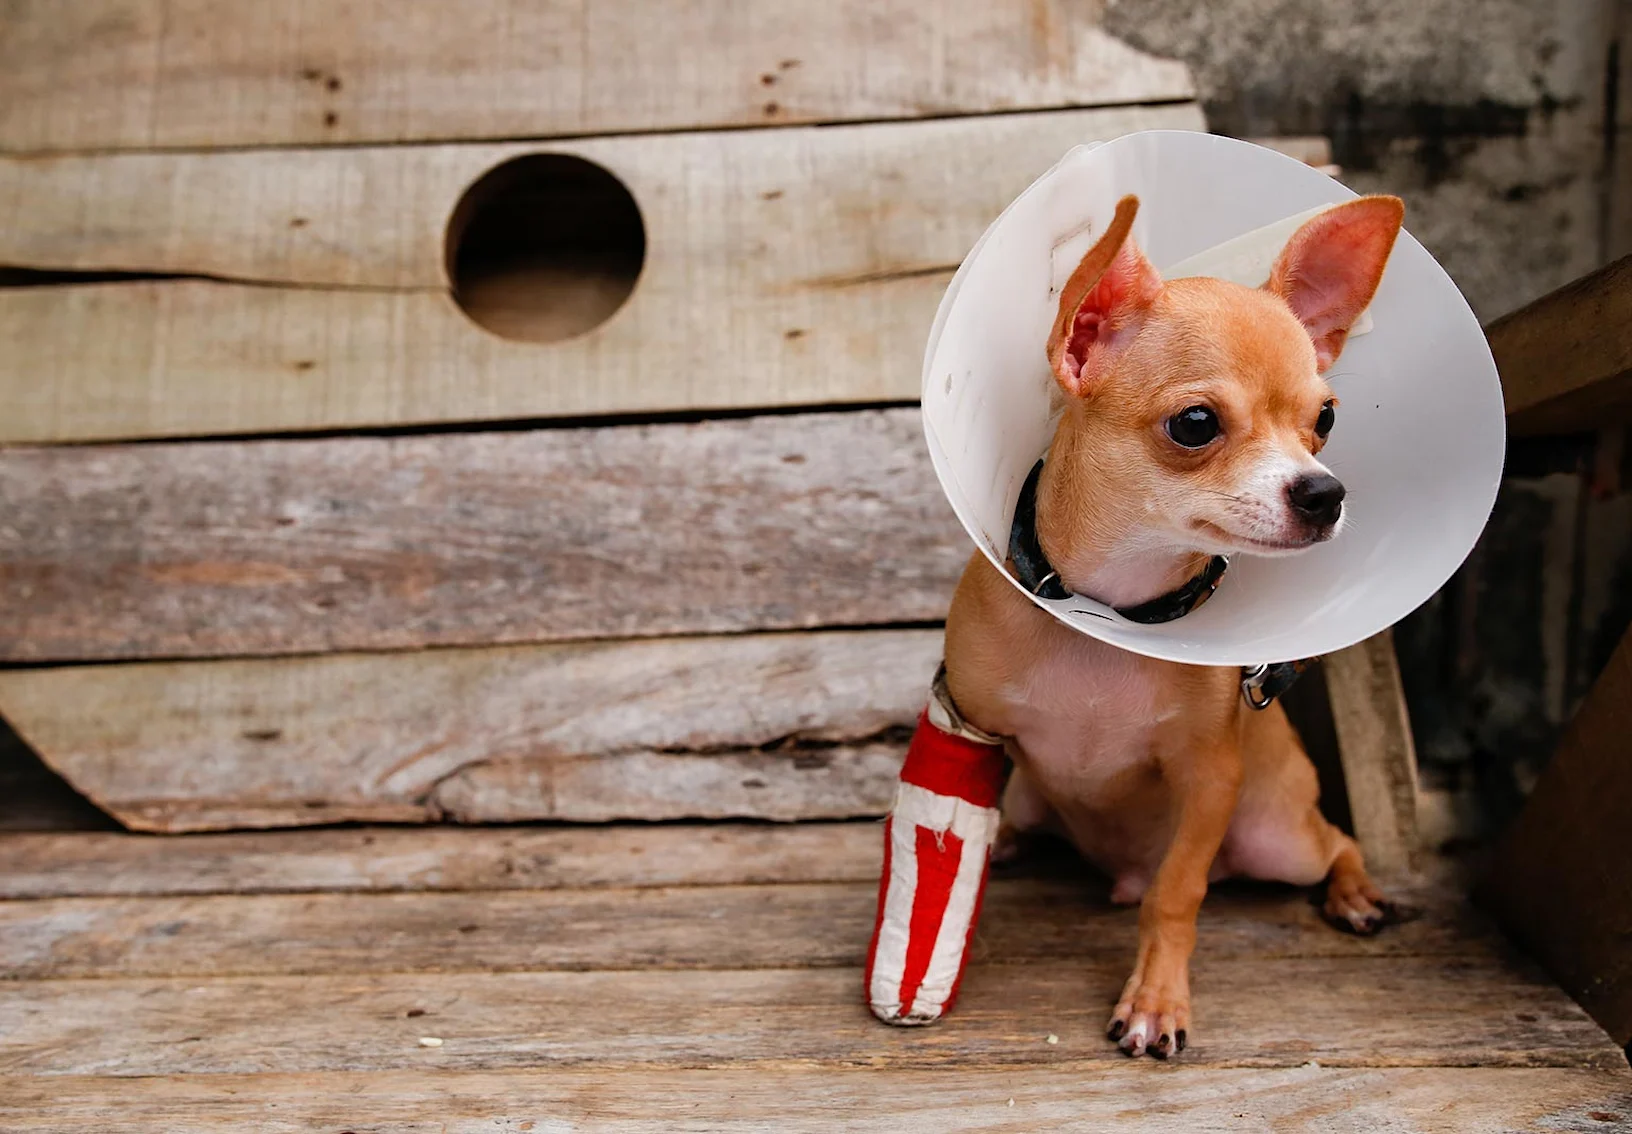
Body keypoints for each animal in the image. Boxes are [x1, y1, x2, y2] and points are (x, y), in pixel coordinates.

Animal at [940, 193, 1410, 1057]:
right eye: (1195, 423)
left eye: (1326, 418)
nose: (1324, 491)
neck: (1108, 609)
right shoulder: (971, 728)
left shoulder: (1209, 780)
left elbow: (1176, 893)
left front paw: (1157, 1002)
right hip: (1031, 795)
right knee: (1021, 820)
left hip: (1277, 837)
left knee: (1337, 840)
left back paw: (1356, 893)